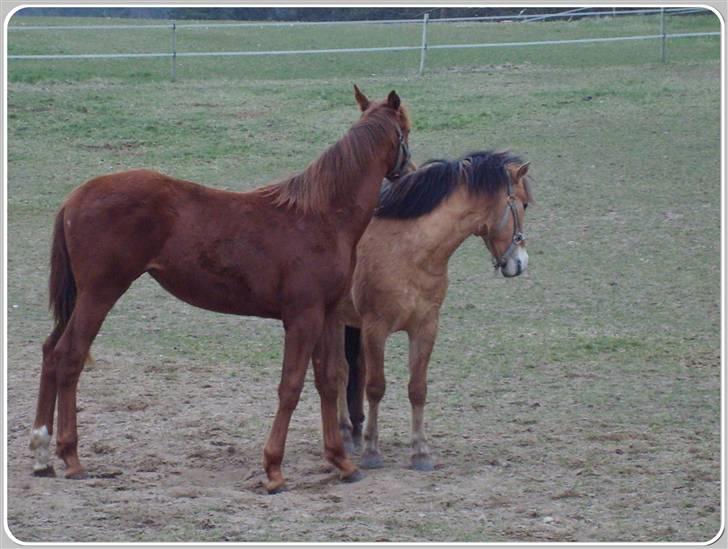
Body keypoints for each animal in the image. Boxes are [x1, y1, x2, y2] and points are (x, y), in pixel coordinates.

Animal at [31, 85, 412, 492]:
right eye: (407, 128)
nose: (408, 172)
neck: (322, 218)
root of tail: (75, 197)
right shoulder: (302, 317)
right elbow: (290, 386)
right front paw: (273, 470)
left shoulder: (326, 315)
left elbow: (328, 381)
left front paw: (341, 461)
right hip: (100, 294)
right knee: (69, 355)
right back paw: (71, 457)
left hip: (80, 297)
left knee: (50, 352)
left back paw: (41, 453)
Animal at [334, 151, 528, 470]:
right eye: (523, 204)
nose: (521, 262)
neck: (409, 249)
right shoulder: (376, 328)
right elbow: (375, 387)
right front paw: (373, 452)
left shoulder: (426, 327)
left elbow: (418, 388)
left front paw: (420, 452)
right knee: (339, 371)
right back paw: (345, 434)